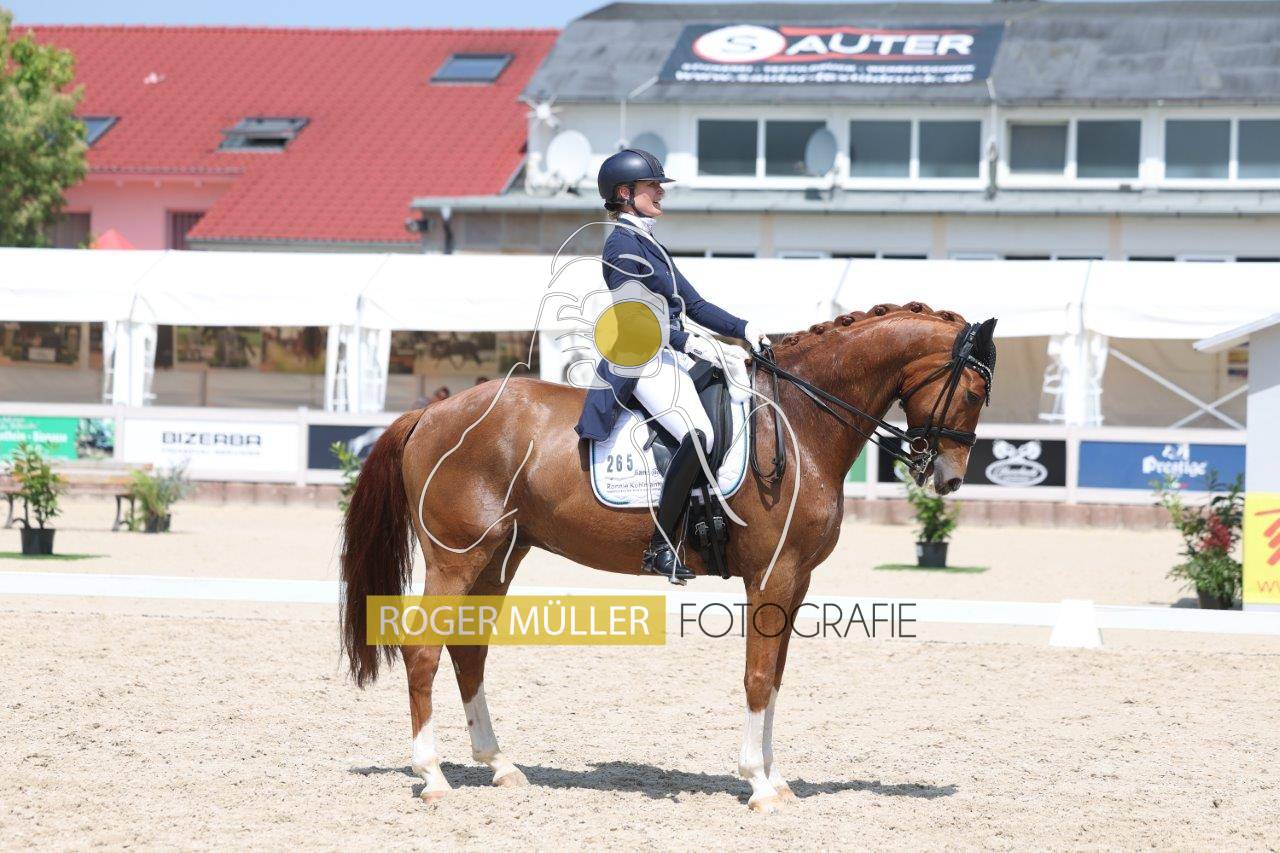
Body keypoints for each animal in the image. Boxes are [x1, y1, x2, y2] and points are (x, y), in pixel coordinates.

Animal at [340, 302, 997, 812]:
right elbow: (759, 676)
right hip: (456, 558)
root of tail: (433, 410)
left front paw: (777, 778)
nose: (948, 479)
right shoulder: (772, 575)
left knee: (468, 650)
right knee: (423, 651)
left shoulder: (797, 579)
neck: (799, 422)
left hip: (501, 555)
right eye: (971, 391)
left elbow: (777, 677)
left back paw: (499, 765)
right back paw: (433, 777)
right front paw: (758, 785)